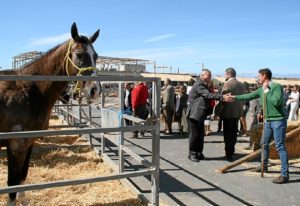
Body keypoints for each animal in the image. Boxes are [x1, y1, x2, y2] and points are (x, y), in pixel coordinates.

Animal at [0, 22, 101, 206]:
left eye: (96, 56)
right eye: (79, 54)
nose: (95, 90)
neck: (28, 90)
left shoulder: (29, 143)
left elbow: (22, 177)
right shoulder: (16, 145)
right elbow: (12, 185)